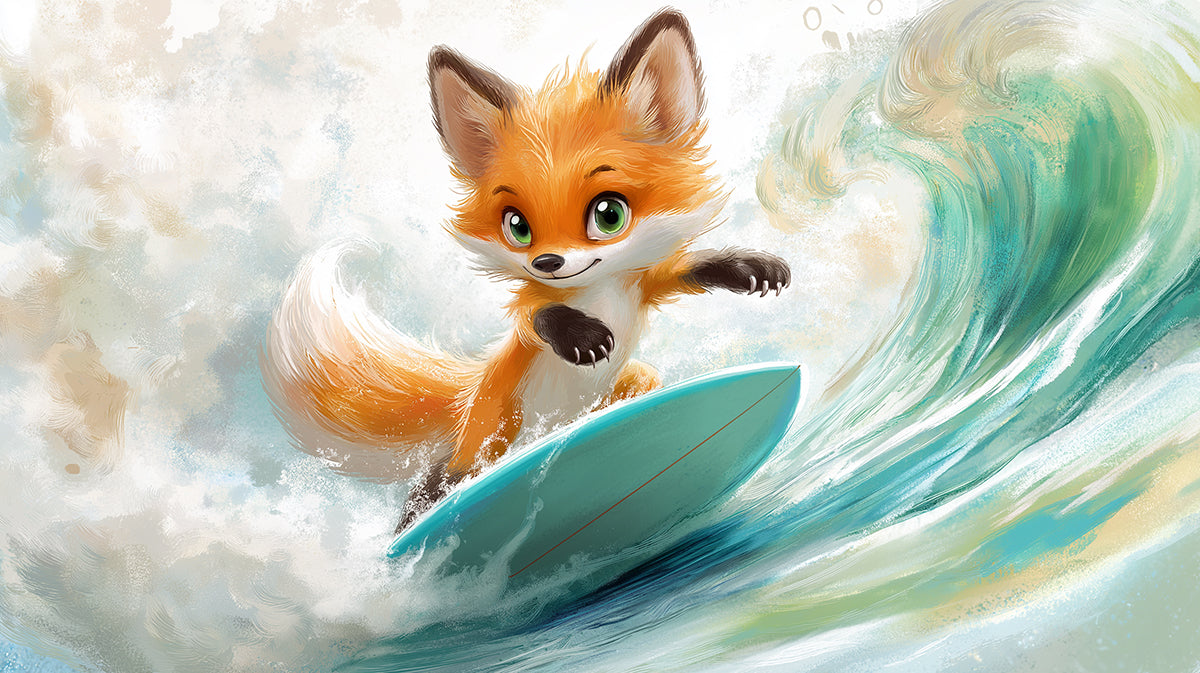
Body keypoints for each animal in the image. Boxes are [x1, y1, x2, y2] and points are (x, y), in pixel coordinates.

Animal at [263, 8, 791, 532]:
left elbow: (681, 270)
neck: (597, 294)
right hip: (495, 426)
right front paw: (579, 336)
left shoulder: (641, 286)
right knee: (448, 474)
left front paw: (749, 266)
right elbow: (536, 316)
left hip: (632, 382)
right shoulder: (531, 311)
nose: (547, 263)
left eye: (609, 214)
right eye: (517, 226)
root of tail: (471, 391)